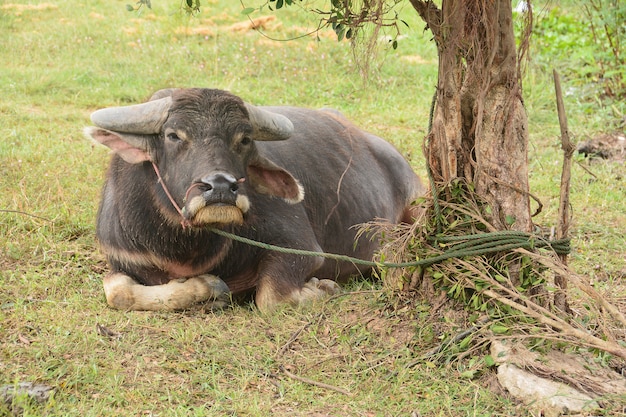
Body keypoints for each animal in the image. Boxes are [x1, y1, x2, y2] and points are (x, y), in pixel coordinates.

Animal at [84, 88, 424, 312]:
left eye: (244, 140)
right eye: (173, 135)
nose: (221, 187)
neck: (186, 250)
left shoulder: (300, 247)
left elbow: (270, 298)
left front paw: (323, 288)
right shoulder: (122, 256)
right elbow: (116, 292)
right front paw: (207, 288)